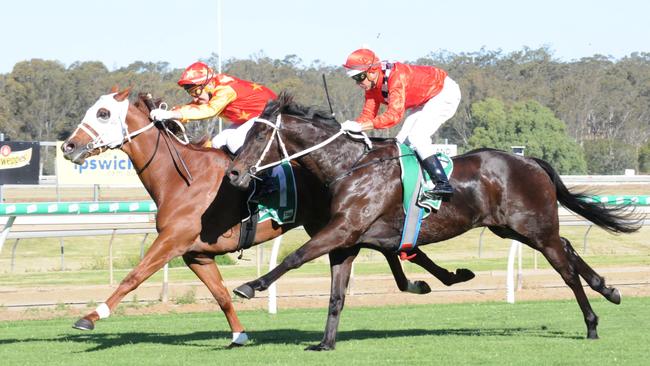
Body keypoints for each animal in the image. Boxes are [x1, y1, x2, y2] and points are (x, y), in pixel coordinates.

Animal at [60, 88, 474, 346]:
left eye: (103, 113)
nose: (69, 146)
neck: (183, 178)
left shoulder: (172, 241)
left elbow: (133, 276)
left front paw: (91, 316)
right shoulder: (196, 254)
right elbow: (221, 295)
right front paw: (239, 334)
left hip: (339, 222)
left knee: (393, 248)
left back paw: (435, 279)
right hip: (338, 223)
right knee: (392, 249)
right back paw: (434, 280)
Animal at [227, 93, 636, 350]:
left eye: (259, 135)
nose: (233, 174)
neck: (349, 166)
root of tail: (530, 160)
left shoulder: (344, 229)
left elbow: (295, 257)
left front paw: (250, 285)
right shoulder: (350, 240)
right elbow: (337, 294)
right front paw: (325, 343)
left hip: (535, 228)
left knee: (565, 268)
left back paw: (592, 323)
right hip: (514, 227)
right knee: (567, 247)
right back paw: (609, 289)